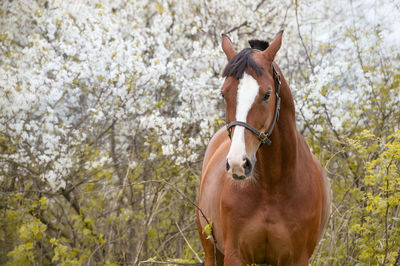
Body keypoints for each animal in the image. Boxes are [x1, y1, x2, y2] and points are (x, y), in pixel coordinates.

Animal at [197, 31, 332, 266]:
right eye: (224, 94)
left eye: (267, 94)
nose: (238, 164)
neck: (272, 186)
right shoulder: (235, 255)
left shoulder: (298, 258)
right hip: (211, 251)